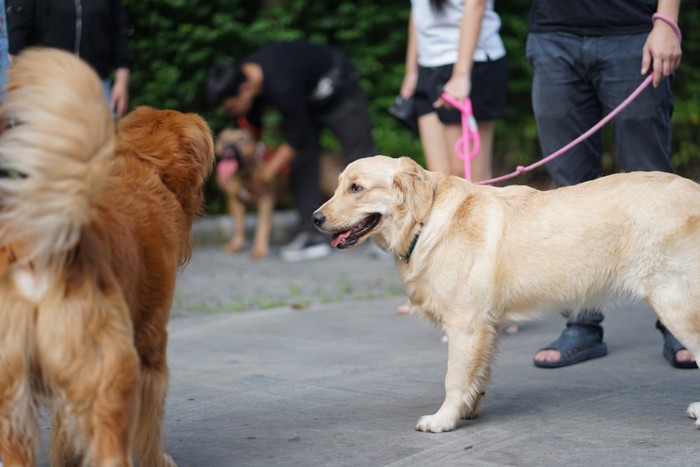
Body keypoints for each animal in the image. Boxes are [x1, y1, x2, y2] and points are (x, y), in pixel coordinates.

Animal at [314, 157, 700, 436]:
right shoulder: (486, 327)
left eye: (356, 188)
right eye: (339, 185)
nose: (316, 218)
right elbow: (477, 376)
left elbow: (454, 378)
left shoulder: (465, 325)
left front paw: (443, 420)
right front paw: (467, 410)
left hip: (675, 303)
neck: (427, 220)